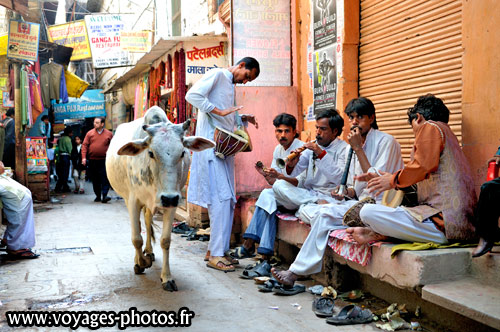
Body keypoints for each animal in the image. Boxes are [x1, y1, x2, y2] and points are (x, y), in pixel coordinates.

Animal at [105, 106, 215, 290]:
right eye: (151, 153)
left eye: (182, 152)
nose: (168, 198)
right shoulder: (133, 201)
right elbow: (136, 238)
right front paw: (140, 263)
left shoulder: (172, 202)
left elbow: (165, 241)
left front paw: (167, 277)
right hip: (128, 199)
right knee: (139, 227)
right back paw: (141, 258)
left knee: (148, 221)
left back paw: (149, 252)